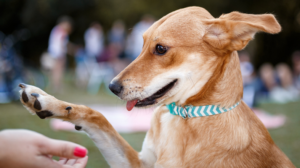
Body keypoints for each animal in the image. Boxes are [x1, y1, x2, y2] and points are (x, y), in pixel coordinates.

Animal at [17, 6, 294, 168]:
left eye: (160, 49)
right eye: (141, 44)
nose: (111, 86)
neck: (183, 118)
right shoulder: (139, 162)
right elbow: (98, 117)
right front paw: (51, 103)